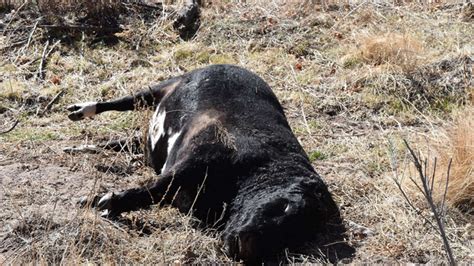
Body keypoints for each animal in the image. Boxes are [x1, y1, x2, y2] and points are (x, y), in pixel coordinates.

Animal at [67, 64, 340, 262]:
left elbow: (153, 193)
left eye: (293, 239)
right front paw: (101, 199)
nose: (245, 250)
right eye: (284, 208)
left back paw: (82, 147)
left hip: (149, 141)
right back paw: (81, 110)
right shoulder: (194, 160)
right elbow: (153, 188)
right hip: (161, 87)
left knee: (128, 143)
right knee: (125, 101)